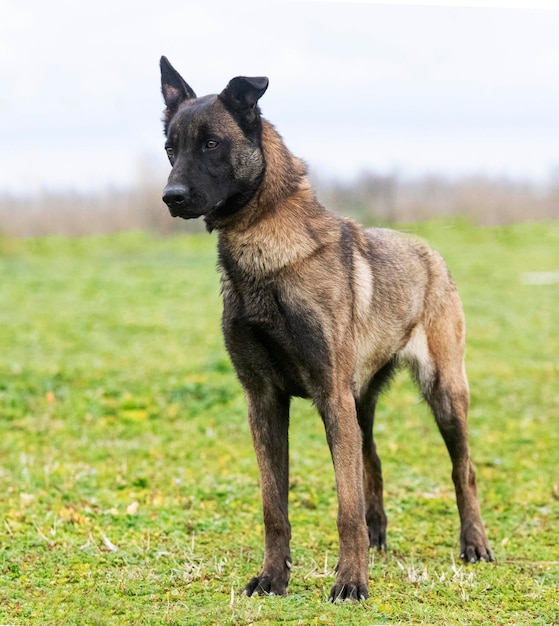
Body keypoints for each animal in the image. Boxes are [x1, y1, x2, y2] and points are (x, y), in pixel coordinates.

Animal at [159, 57, 494, 600]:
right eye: (171, 148)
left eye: (211, 144)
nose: (171, 196)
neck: (263, 252)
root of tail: (429, 250)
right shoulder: (265, 400)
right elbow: (275, 506)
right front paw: (273, 577)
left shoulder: (329, 395)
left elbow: (345, 508)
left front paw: (351, 582)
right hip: (360, 404)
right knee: (371, 462)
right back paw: (380, 536)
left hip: (443, 395)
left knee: (462, 470)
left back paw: (474, 544)